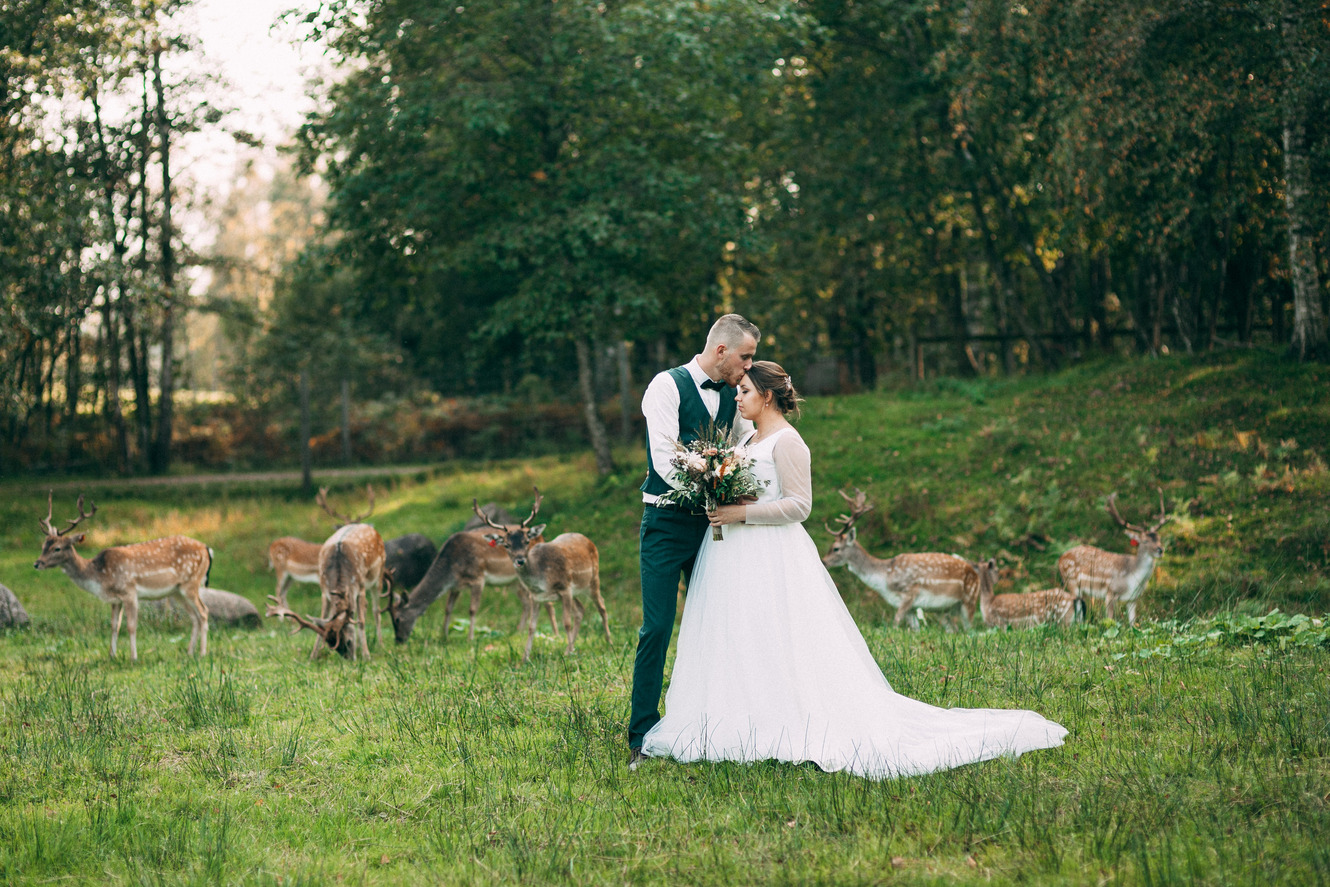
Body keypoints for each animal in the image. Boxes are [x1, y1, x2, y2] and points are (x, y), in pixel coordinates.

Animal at [32, 492, 212, 659]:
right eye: (43, 545)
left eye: (57, 548)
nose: (37, 563)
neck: (100, 577)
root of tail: (207, 549)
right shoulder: (115, 599)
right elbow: (114, 626)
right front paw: (112, 655)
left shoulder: (129, 592)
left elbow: (131, 626)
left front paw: (133, 657)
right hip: (177, 591)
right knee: (194, 617)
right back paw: (189, 652)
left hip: (191, 584)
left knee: (203, 612)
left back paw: (202, 653)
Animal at [267, 486, 387, 660]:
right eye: (333, 645)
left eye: (348, 641)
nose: (350, 659)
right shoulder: (324, 589)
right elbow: (325, 617)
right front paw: (313, 656)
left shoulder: (361, 586)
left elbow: (362, 621)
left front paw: (366, 655)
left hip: (380, 574)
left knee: (376, 611)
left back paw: (380, 644)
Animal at [472, 488, 609, 661]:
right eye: (507, 545)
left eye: (526, 541)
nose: (520, 560)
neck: (541, 581)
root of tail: (587, 539)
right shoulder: (536, 597)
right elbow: (532, 627)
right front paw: (525, 658)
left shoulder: (564, 588)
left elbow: (566, 622)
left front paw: (568, 653)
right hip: (576, 591)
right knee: (581, 610)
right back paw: (572, 646)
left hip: (593, 578)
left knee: (601, 606)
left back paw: (608, 642)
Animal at [821, 489, 979, 630]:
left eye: (835, 548)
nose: (823, 561)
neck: (884, 580)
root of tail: (976, 574)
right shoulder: (910, 606)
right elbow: (915, 630)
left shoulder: (910, 592)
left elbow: (895, 623)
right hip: (944, 610)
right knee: (954, 629)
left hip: (969, 601)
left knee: (970, 630)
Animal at [1058, 491, 1171, 624]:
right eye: (1145, 541)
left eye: (1159, 538)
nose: (1160, 550)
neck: (1132, 579)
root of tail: (1060, 559)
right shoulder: (1110, 592)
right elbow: (1110, 619)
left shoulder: (1133, 598)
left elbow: (1133, 623)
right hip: (1072, 583)